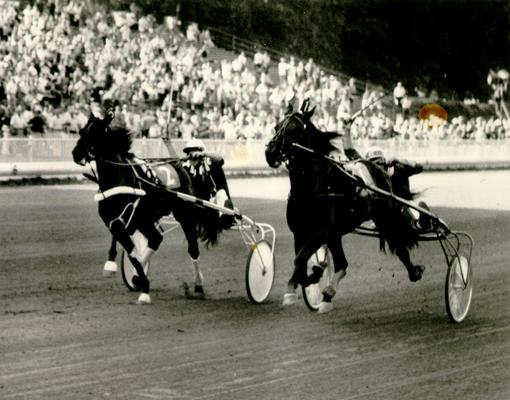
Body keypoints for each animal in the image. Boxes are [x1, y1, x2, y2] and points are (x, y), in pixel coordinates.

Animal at [71, 112, 231, 304]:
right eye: (82, 131)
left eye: (97, 132)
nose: (76, 153)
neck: (121, 179)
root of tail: (181, 167)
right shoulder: (116, 222)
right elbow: (131, 251)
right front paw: (121, 269)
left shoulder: (134, 218)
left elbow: (135, 250)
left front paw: (143, 289)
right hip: (148, 220)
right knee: (155, 239)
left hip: (183, 216)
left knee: (189, 247)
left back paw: (198, 287)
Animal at [264, 101, 424, 314]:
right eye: (276, 127)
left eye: (294, 130)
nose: (270, 152)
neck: (311, 187)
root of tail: (378, 169)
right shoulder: (300, 232)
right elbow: (300, 262)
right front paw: (311, 277)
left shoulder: (320, 232)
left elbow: (299, 260)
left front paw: (302, 283)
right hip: (336, 233)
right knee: (342, 263)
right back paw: (327, 295)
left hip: (384, 217)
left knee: (399, 247)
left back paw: (414, 271)